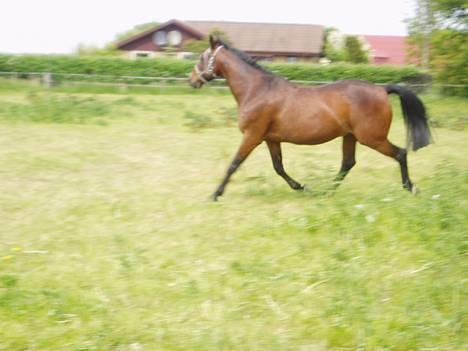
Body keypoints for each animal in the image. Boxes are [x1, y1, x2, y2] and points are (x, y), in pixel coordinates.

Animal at [188, 36, 430, 202]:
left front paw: (215, 195)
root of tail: (382, 89)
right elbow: (278, 167)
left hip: (372, 138)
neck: (257, 90)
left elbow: (234, 164)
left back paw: (410, 187)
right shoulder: (271, 139)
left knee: (400, 153)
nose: (192, 80)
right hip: (350, 136)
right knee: (348, 163)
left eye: (202, 57)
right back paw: (325, 191)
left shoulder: (252, 136)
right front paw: (302, 187)